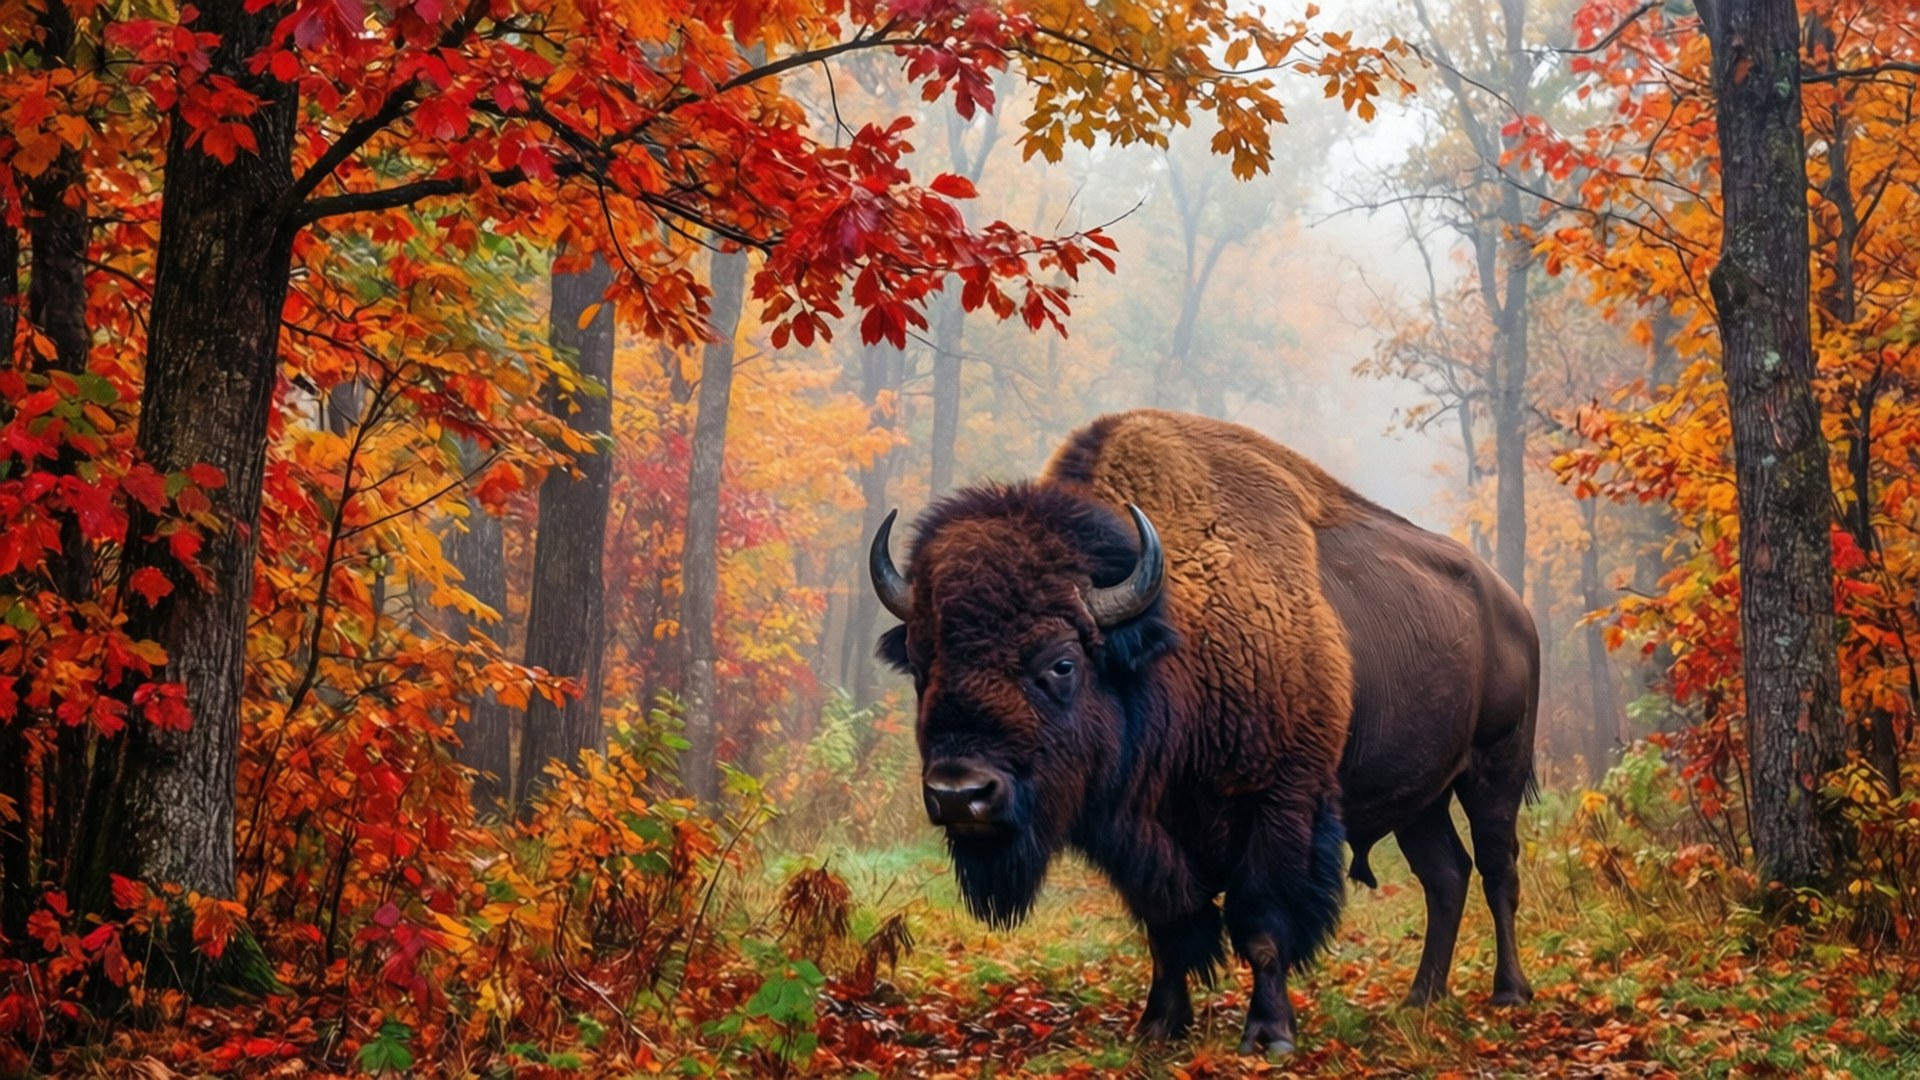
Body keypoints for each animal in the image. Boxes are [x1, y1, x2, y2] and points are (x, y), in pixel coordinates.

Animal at [869, 410, 1538, 1054]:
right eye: (922, 664)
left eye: (1061, 663)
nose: (960, 794)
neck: (1169, 635)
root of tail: (1513, 605)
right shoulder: (1142, 836)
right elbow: (1169, 928)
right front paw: (1158, 1026)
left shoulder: (1278, 805)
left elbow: (1262, 925)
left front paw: (1269, 1035)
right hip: (1421, 799)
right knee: (1445, 875)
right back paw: (1420, 999)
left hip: (1494, 769)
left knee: (1497, 869)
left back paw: (1509, 993)